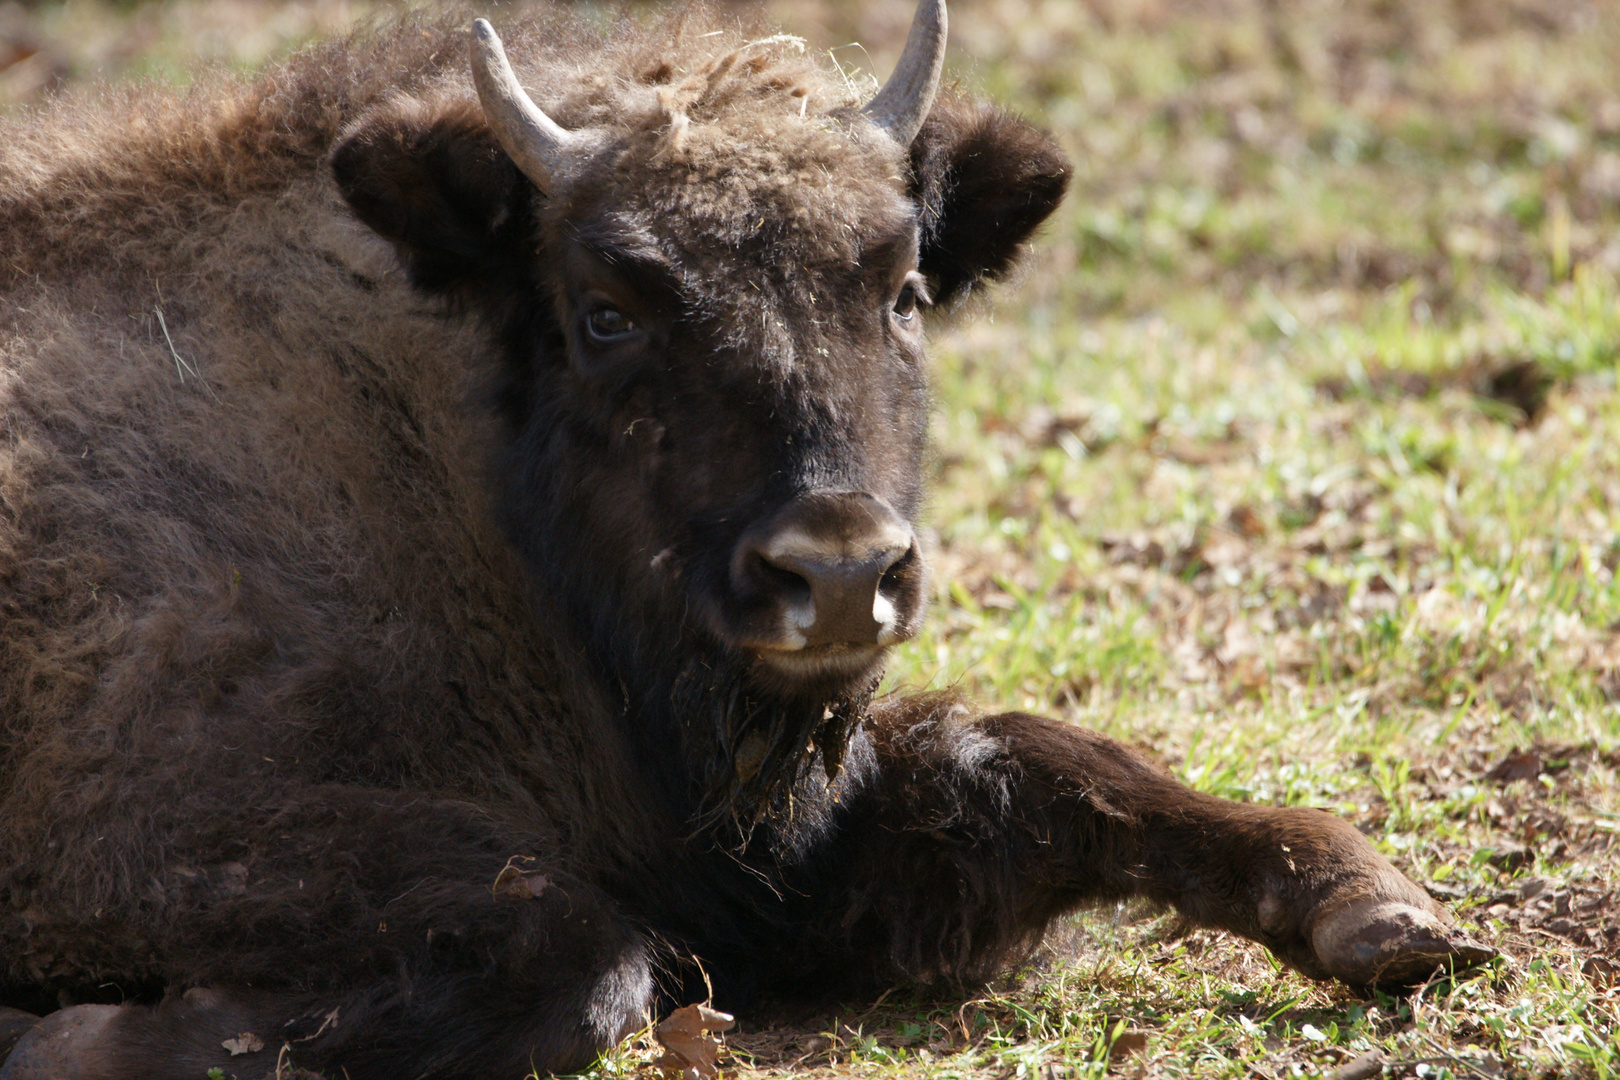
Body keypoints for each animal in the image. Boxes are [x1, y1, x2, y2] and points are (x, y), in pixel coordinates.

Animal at [0, 0, 1490, 1075]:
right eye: (606, 309)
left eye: (902, 290)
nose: (836, 573)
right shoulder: (154, 840)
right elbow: (579, 953)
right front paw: (73, 1043)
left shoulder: (776, 856)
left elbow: (1032, 759)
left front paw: (1383, 909)